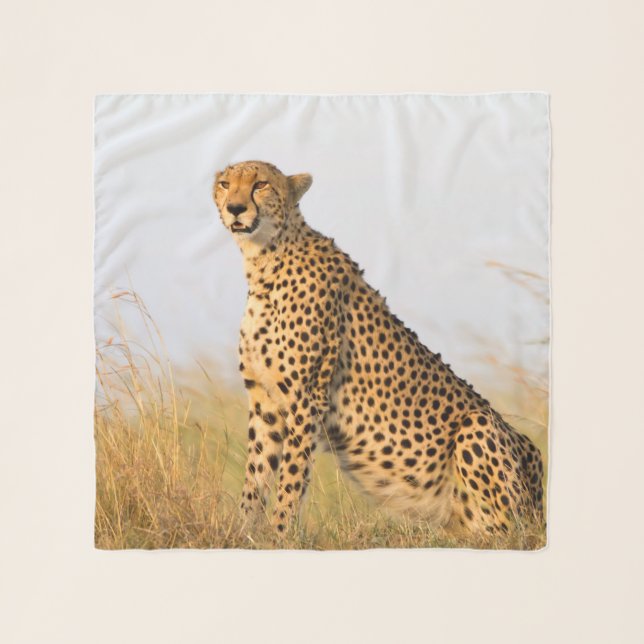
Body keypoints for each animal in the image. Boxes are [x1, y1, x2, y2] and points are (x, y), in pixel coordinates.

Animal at [212, 160, 545, 537]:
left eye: (260, 185)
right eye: (225, 184)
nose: (235, 208)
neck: (265, 259)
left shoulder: (306, 398)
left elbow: (291, 478)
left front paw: (280, 534)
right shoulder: (265, 400)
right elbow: (256, 474)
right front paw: (241, 533)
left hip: (480, 428)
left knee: (504, 532)